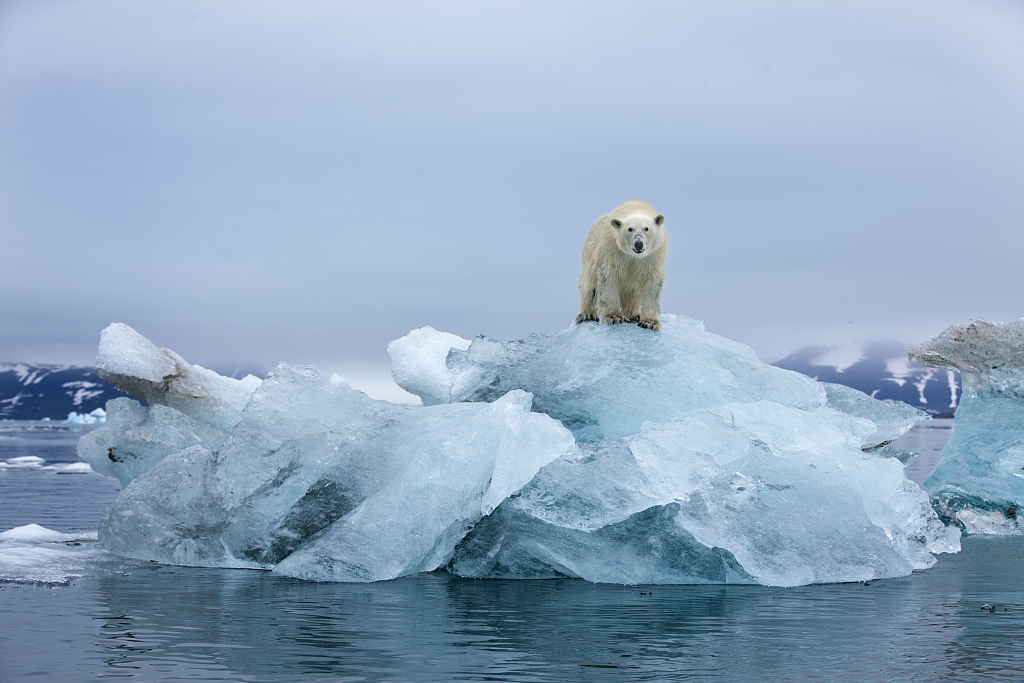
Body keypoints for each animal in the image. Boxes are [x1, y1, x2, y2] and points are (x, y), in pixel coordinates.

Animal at [573, 198, 667, 331]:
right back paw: (586, 314)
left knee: (632, 294)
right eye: (630, 229)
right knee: (589, 286)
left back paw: (635, 315)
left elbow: (652, 284)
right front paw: (614, 317)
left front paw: (650, 322)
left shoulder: (653, 256)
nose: (638, 244)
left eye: (646, 228)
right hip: (589, 254)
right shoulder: (611, 251)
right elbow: (608, 279)